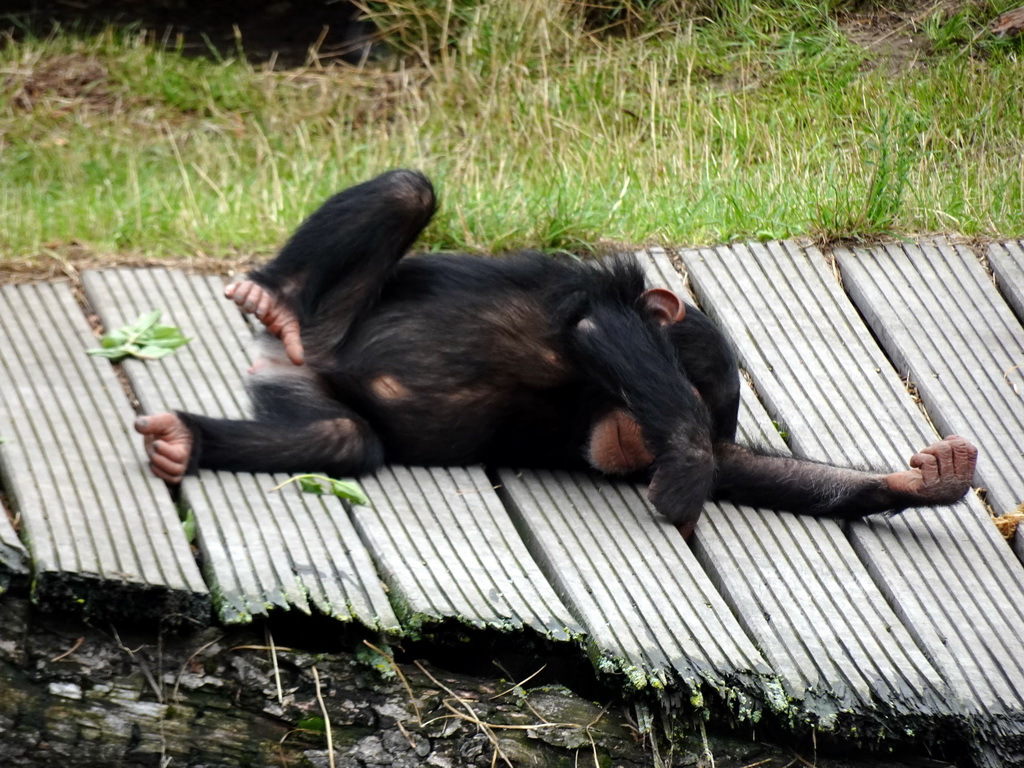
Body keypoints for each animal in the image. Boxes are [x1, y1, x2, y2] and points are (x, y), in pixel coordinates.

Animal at [136, 171, 974, 536]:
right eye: (674, 397)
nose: (641, 449)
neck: (584, 405)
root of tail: (293, 352)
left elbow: (752, 471)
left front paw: (926, 481)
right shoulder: (605, 319)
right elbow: (600, 329)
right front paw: (684, 476)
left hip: (294, 387)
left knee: (339, 437)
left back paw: (187, 439)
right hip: (329, 322)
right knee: (409, 190)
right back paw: (275, 295)